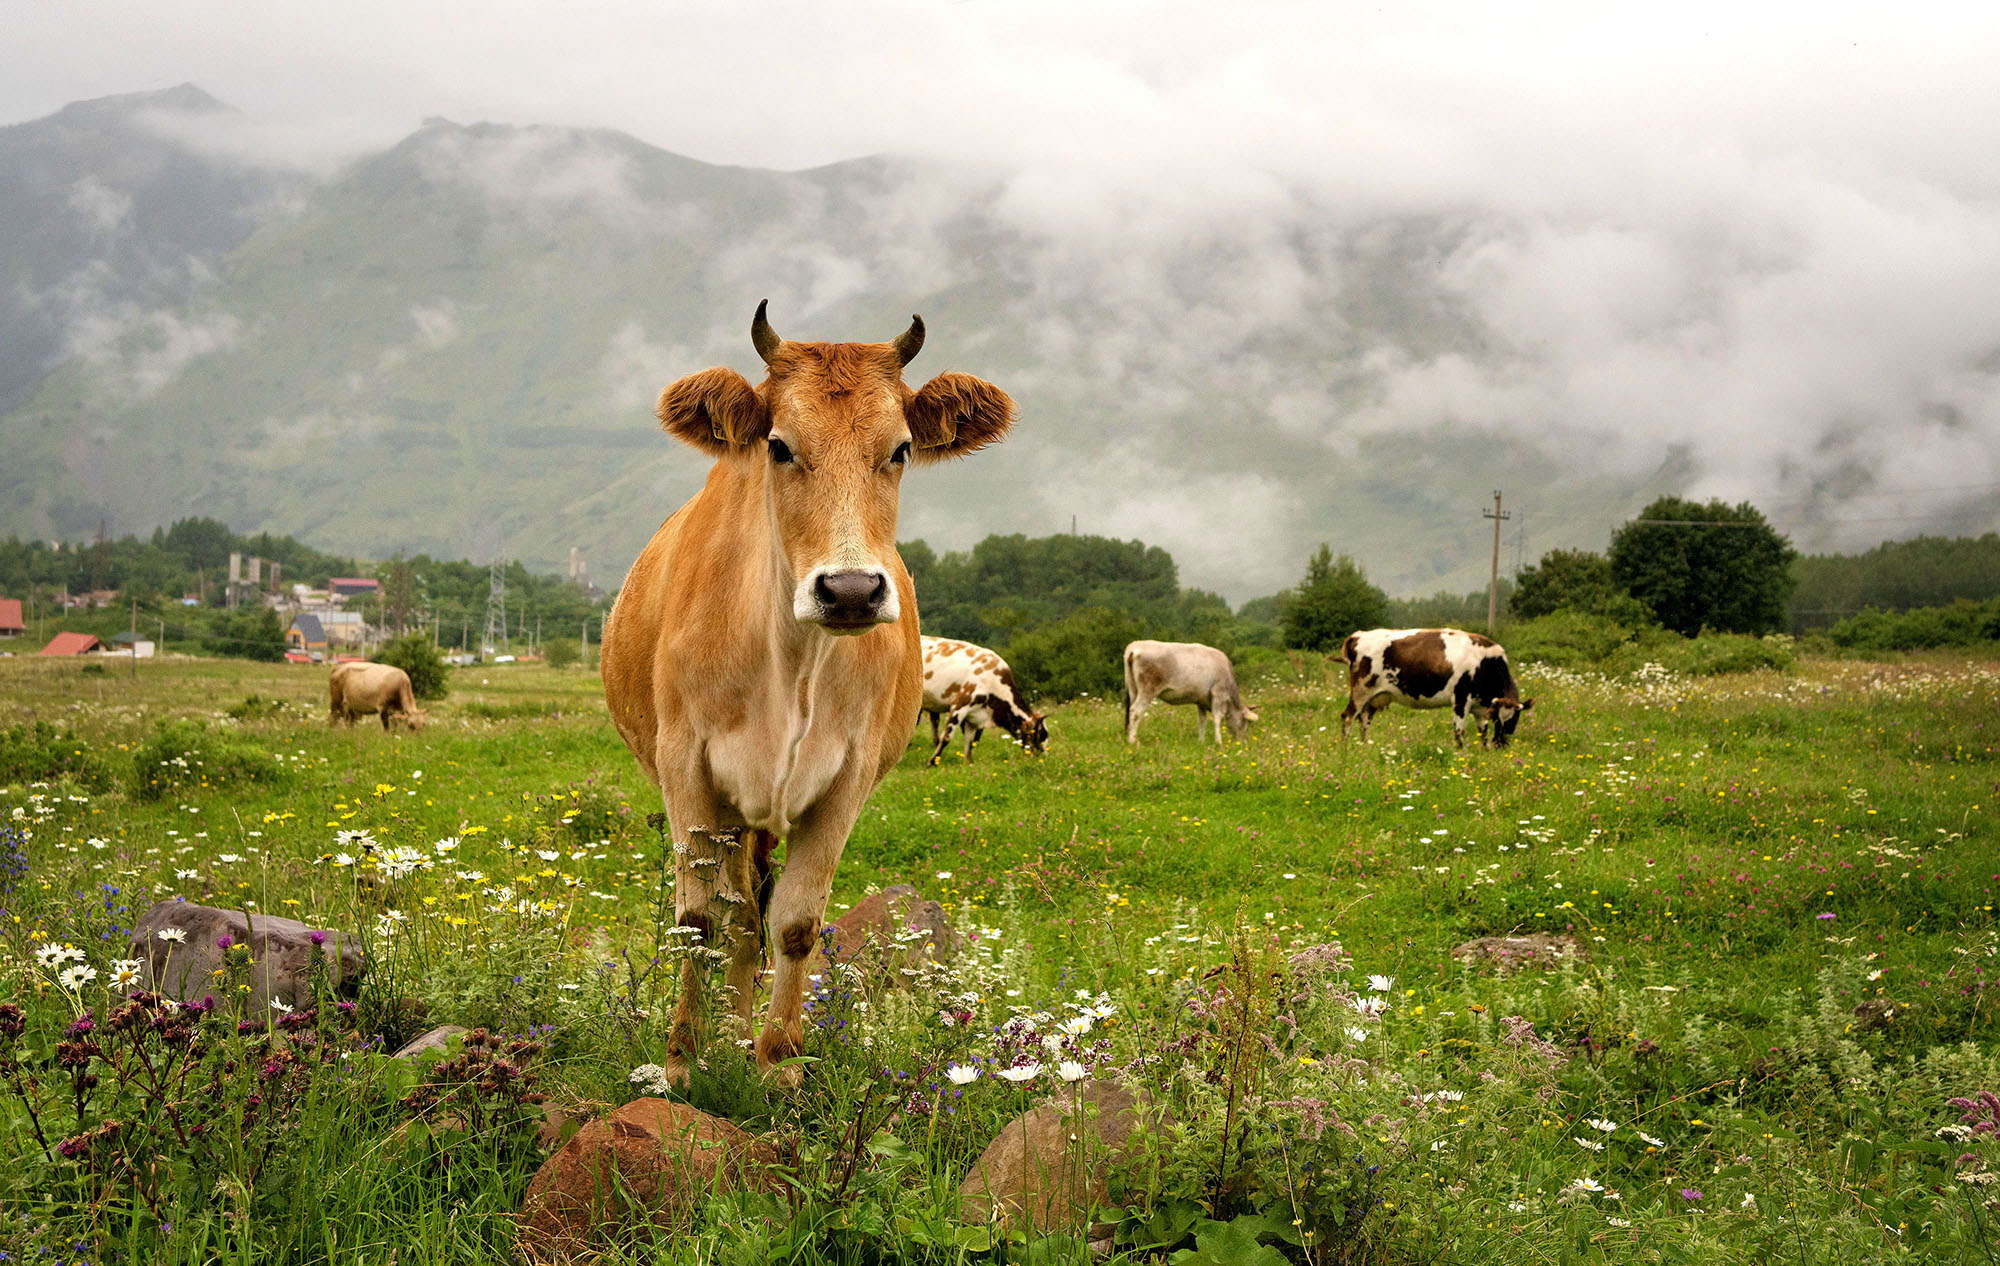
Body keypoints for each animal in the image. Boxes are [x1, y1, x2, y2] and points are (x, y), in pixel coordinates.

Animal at [596, 302, 1016, 1080]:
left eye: (901, 449)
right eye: (780, 447)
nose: (849, 590)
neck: (791, 664)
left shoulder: (845, 781)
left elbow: (795, 923)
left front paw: (779, 1064)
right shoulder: (686, 768)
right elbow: (698, 919)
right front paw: (680, 1063)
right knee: (733, 913)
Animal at [916, 636, 1048, 764]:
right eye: (1041, 735)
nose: (1042, 758)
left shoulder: (974, 716)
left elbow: (970, 741)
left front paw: (968, 763)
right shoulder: (960, 705)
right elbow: (947, 737)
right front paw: (932, 762)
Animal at [1120, 640, 1256, 740]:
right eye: (1245, 723)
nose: (1242, 741)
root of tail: (1135, 647)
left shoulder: (1201, 700)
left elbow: (1202, 721)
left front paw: (1201, 742)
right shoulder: (1219, 694)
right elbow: (1217, 718)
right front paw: (1219, 742)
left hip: (1133, 689)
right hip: (1147, 690)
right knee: (1136, 711)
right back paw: (1133, 741)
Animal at [1336, 628, 1536, 744]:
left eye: (1514, 717)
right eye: (1498, 718)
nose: (1501, 743)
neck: (1486, 662)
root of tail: (1359, 634)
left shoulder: (1481, 707)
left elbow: (1483, 733)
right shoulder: (1461, 699)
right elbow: (1459, 731)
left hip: (1373, 697)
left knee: (1364, 720)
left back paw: (1365, 749)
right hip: (1361, 690)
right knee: (1348, 716)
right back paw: (1346, 752)